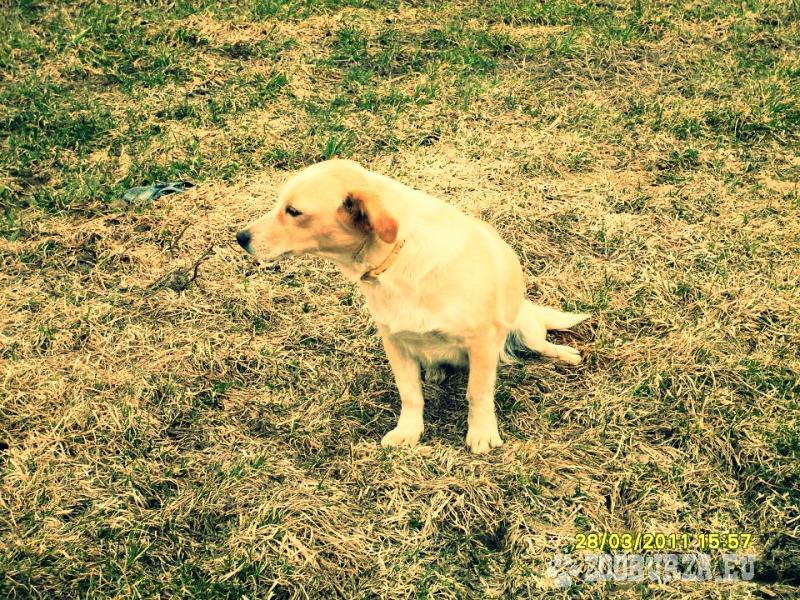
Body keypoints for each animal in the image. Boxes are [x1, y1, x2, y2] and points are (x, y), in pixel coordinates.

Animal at [237, 159, 588, 453]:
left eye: (293, 211)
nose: (240, 237)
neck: (395, 258)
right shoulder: (395, 341)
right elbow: (410, 394)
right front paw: (409, 431)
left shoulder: (483, 341)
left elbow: (477, 393)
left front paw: (481, 433)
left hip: (524, 326)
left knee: (540, 343)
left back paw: (564, 354)